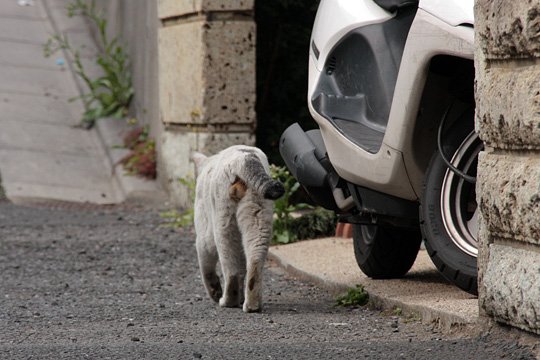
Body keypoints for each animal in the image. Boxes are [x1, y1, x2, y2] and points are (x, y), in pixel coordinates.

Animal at [191, 145, 284, 314]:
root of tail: (245, 157)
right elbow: (242, 269)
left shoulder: (204, 236)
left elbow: (207, 268)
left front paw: (215, 293)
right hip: (258, 220)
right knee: (253, 263)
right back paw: (252, 305)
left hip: (224, 226)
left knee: (231, 270)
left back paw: (227, 301)